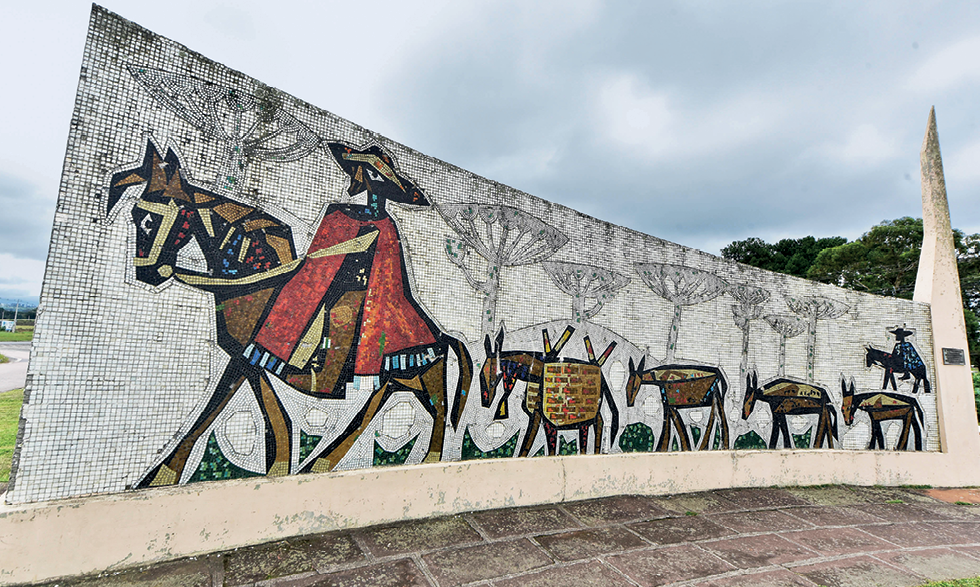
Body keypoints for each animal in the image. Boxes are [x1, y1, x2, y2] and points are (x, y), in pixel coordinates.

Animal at [109, 139, 472, 486]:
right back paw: (324, 462)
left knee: (437, 410)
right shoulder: (249, 358)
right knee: (388, 401)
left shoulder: (249, 356)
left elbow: (236, 414)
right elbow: (259, 414)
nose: (148, 273)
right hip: (404, 374)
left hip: (419, 369)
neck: (254, 281)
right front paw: (280, 464)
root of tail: (441, 334)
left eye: (151, 220)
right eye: (135, 215)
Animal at [478, 328, 616, 458]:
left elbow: (547, 447)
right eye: (480, 375)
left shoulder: (549, 420)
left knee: (597, 426)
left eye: (489, 378)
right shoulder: (538, 415)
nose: (485, 401)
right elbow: (529, 443)